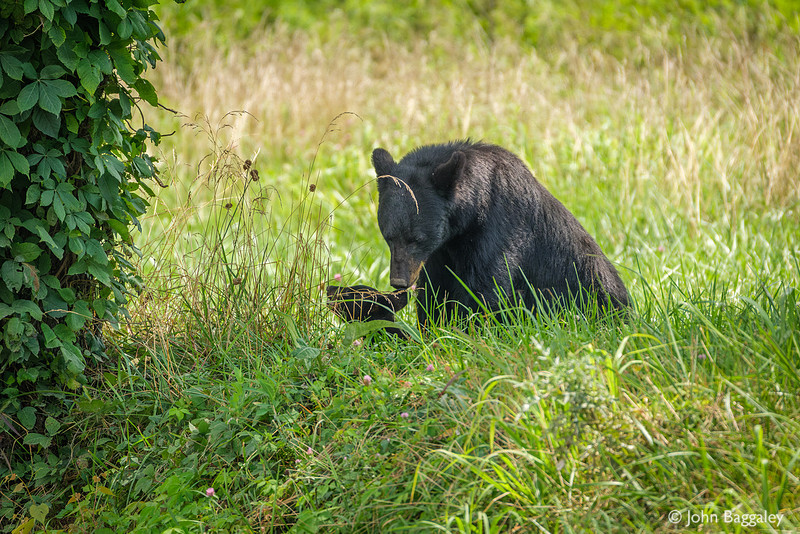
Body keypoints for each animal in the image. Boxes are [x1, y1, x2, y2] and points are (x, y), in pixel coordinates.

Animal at [371, 140, 629, 327]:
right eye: (389, 236)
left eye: (416, 239)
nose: (399, 281)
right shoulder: (440, 250)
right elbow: (436, 287)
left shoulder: (500, 227)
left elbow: (485, 286)